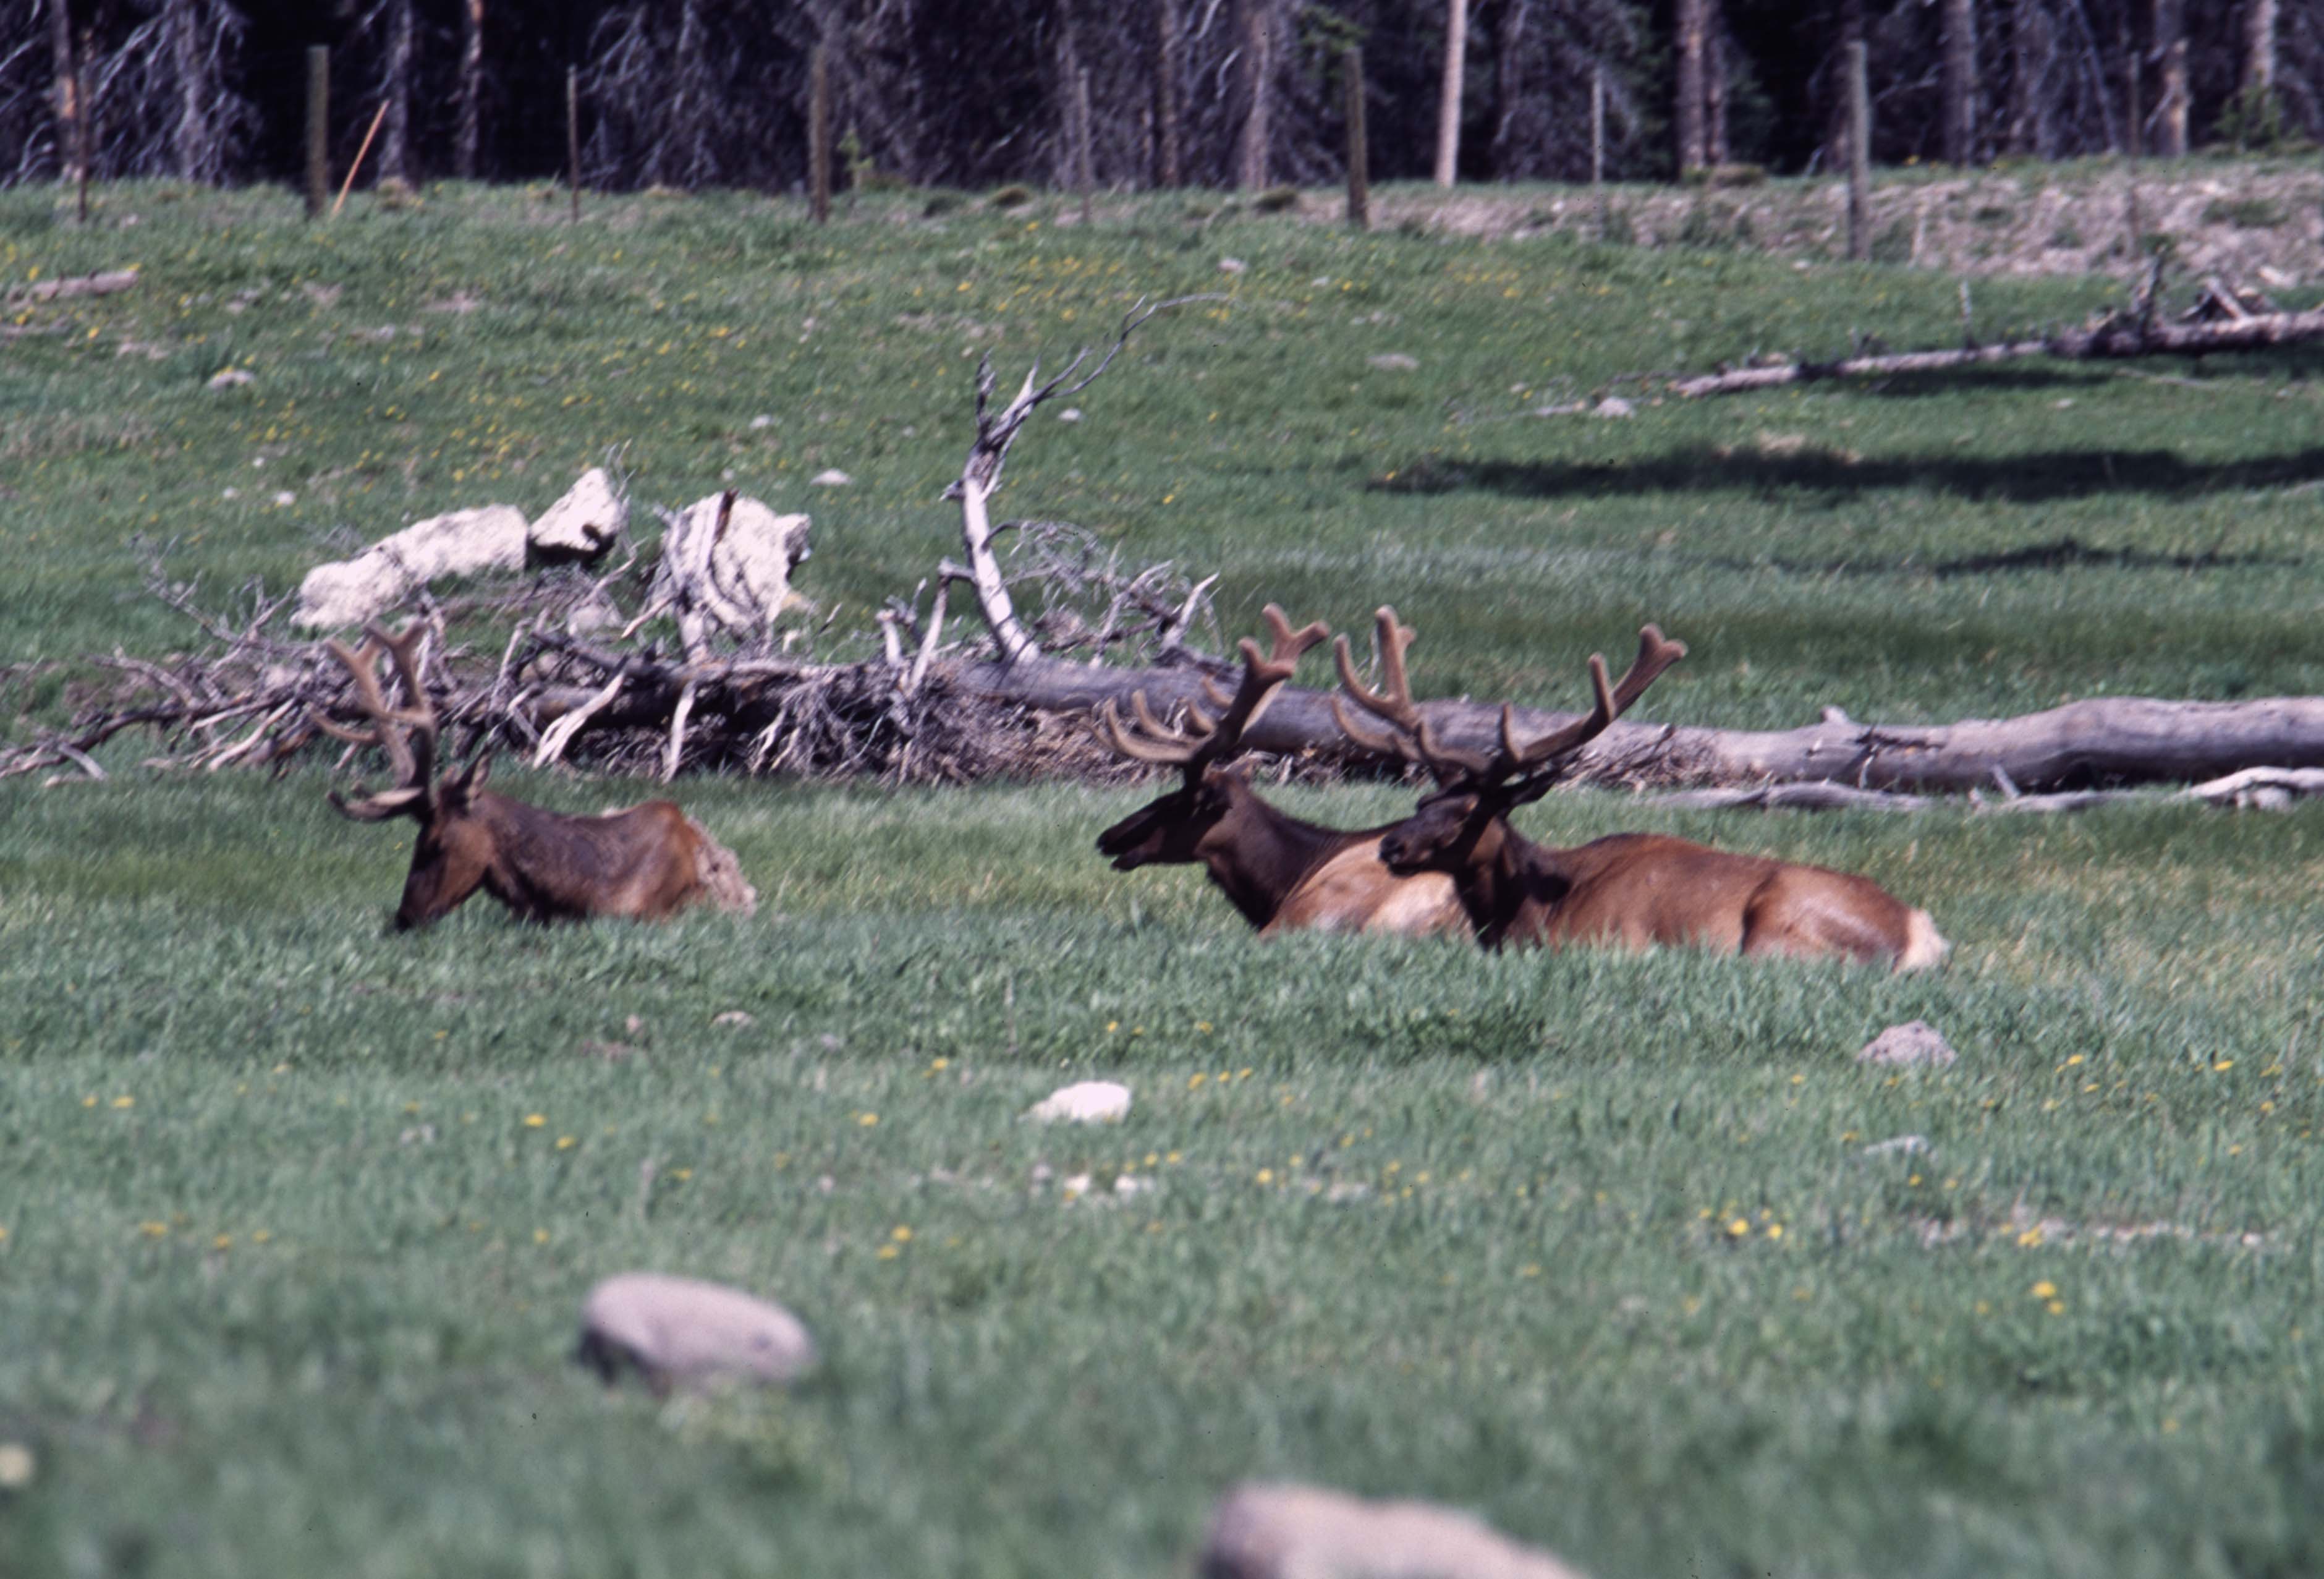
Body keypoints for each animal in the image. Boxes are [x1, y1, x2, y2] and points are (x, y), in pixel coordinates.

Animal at [1330, 609, 1947, 970]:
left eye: (1470, 812)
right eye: (1423, 801)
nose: (1391, 846)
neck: (1530, 913)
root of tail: (1919, 932)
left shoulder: (1611, 938)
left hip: (1780, 926)